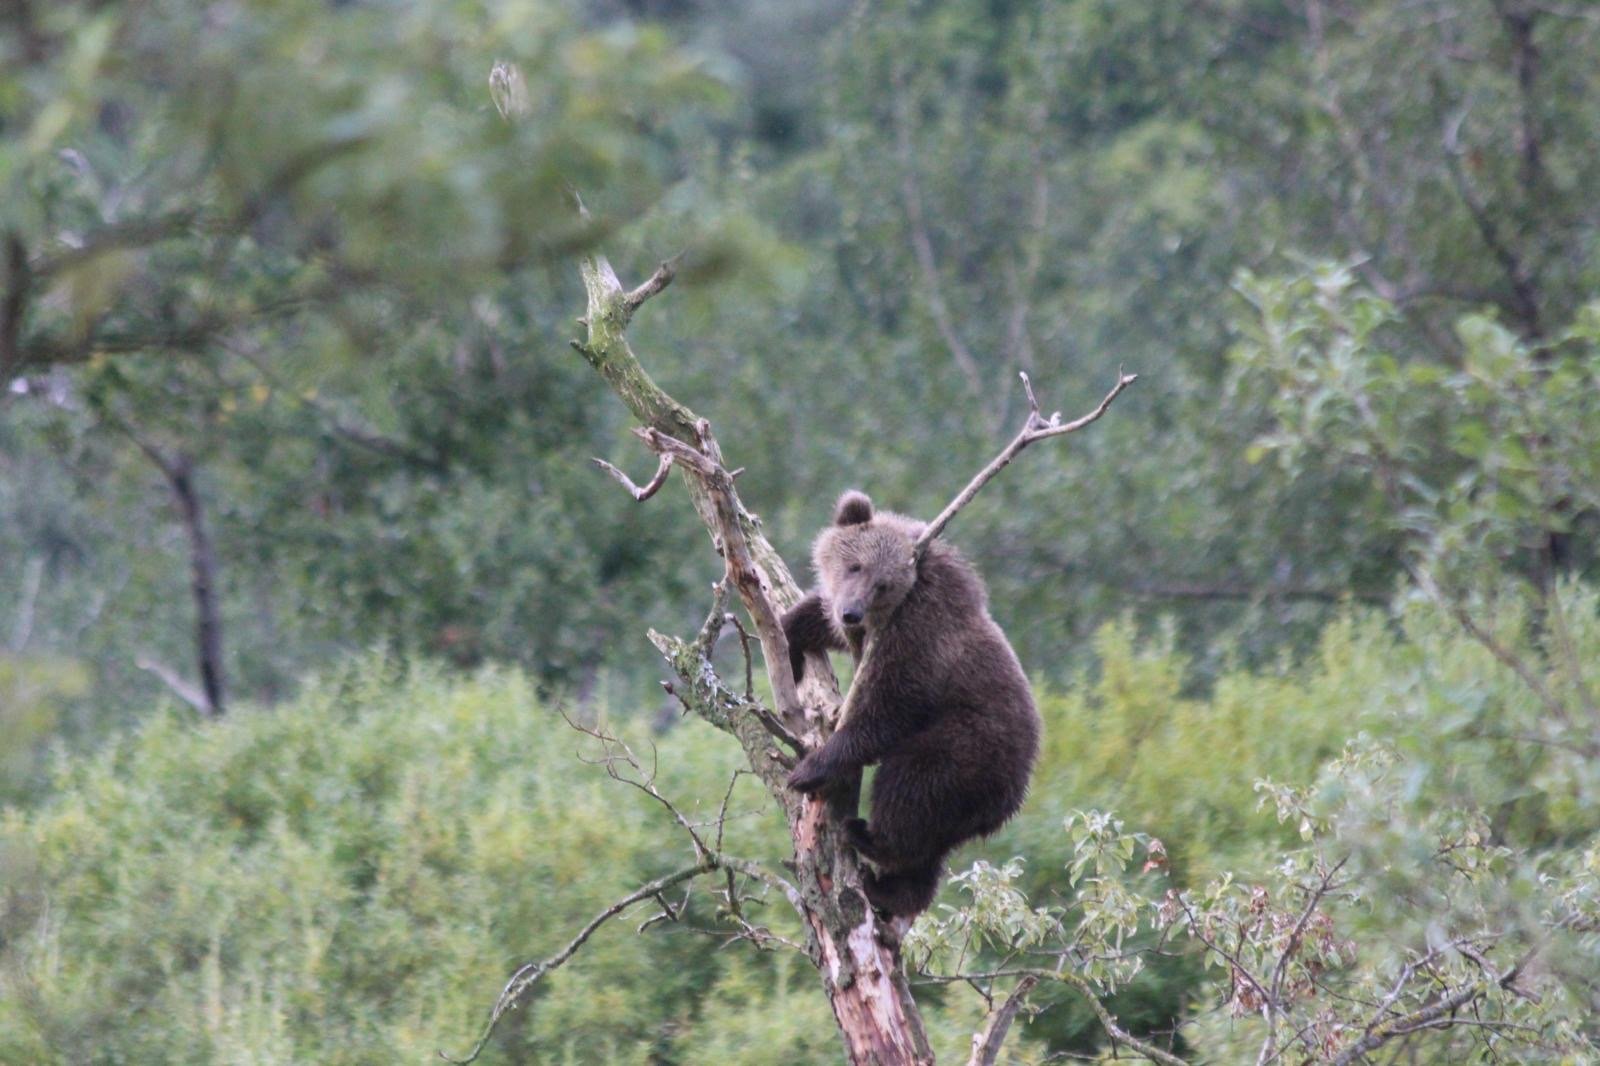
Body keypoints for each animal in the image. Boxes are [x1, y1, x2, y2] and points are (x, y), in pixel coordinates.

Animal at [781, 490, 1040, 918]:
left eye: (882, 584)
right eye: (854, 566)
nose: (851, 611)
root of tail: (1011, 797)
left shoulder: (918, 638)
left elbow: (886, 711)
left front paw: (809, 769)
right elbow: (814, 617)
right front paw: (788, 638)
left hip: (966, 746)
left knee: (909, 784)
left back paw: (868, 837)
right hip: (961, 806)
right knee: (930, 844)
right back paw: (891, 890)